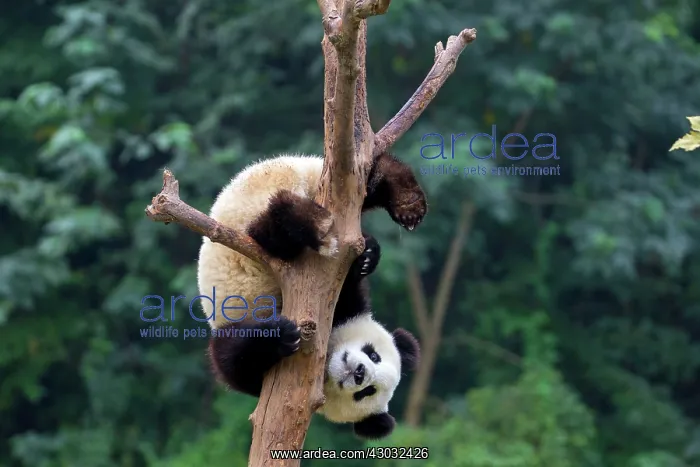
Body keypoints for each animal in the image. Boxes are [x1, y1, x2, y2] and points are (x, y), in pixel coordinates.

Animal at [197, 151, 426, 439]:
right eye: (374, 355)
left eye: (367, 391)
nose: (360, 371)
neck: (326, 354)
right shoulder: (342, 302)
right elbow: (231, 359)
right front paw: (280, 334)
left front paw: (367, 256)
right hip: (250, 220)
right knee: (273, 228)